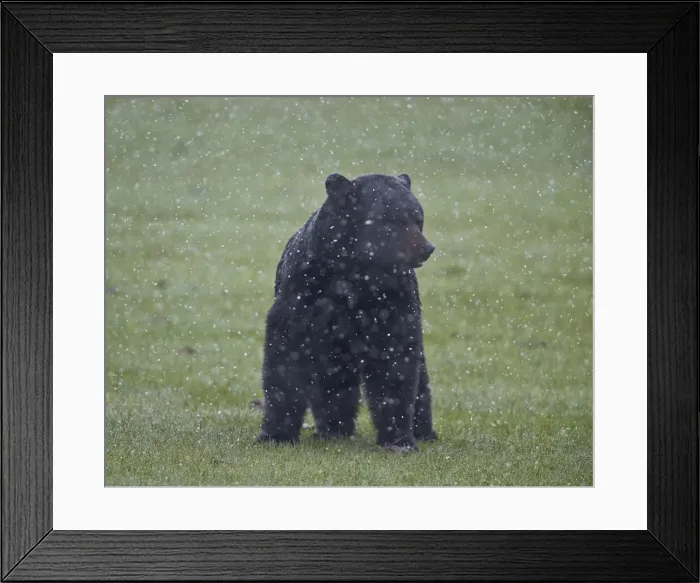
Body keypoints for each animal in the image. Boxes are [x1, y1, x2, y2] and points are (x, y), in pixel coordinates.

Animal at [256, 172, 437, 452]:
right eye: (394, 220)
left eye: (418, 219)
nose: (427, 248)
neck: (355, 273)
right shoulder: (303, 296)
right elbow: (285, 358)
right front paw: (275, 435)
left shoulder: (394, 303)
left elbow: (397, 368)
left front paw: (399, 441)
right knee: (331, 382)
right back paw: (332, 429)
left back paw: (424, 431)